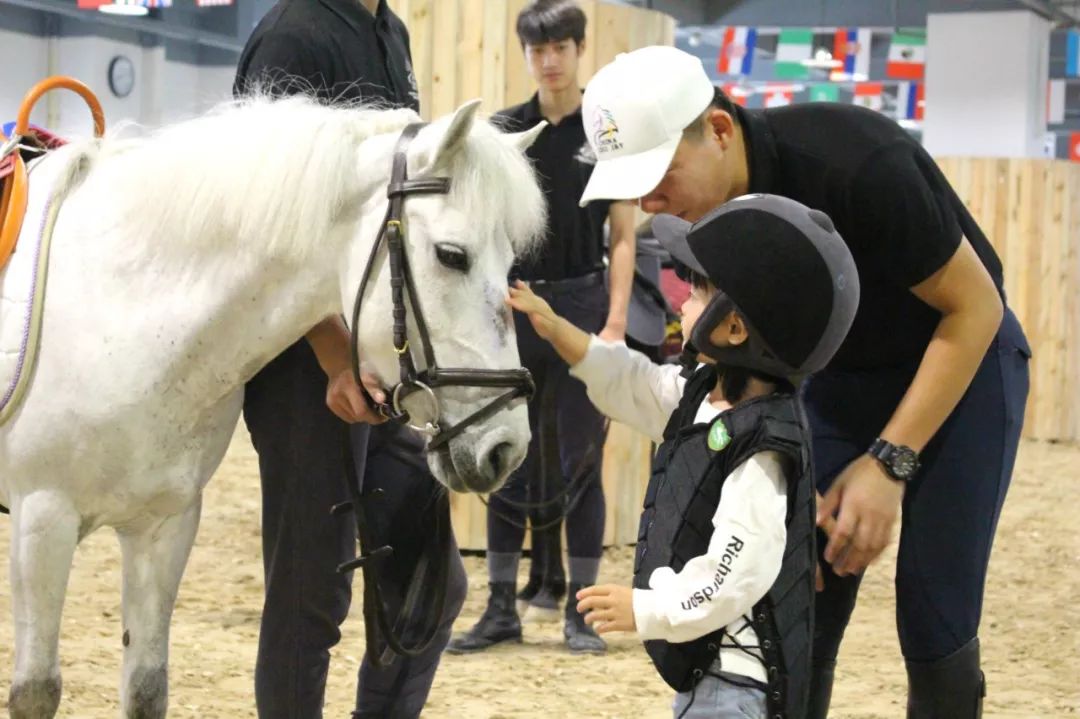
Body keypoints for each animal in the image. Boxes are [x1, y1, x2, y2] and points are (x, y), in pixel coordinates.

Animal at [0, 96, 548, 716]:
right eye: (452, 256)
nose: (506, 447)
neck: (114, 306)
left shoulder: (163, 526)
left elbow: (146, 687)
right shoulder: (42, 520)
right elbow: (36, 692)